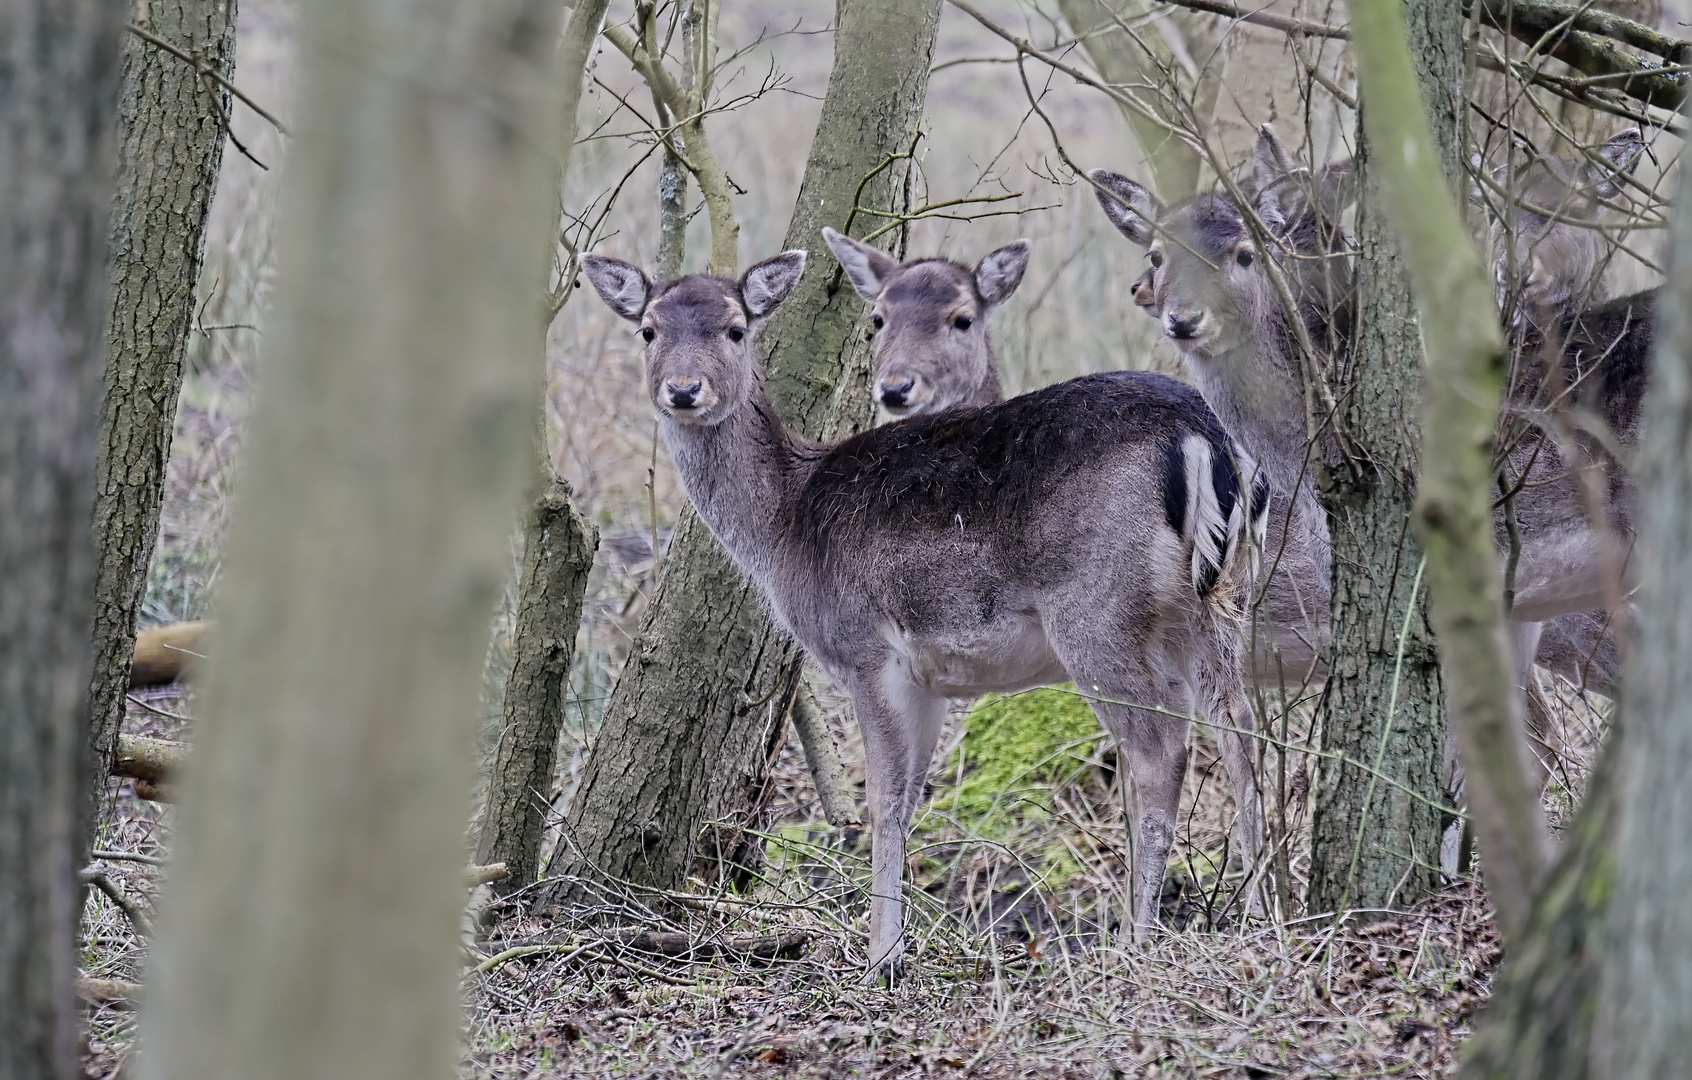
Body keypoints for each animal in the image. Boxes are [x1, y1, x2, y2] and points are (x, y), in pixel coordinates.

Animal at [582, 250, 1272, 988]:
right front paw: (898, 947)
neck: (783, 525)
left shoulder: (863, 648)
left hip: (1096, 609)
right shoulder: (933, 677)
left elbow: (883, 799)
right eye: (649, 329)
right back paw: (1263, 917)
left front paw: (879, 959)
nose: (684, 390)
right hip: (1219, 600)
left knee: (1159, 750)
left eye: (736, 329)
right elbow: (913, 796)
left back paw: (1136, 941)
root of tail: (1202, 436)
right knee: (1241, 728)